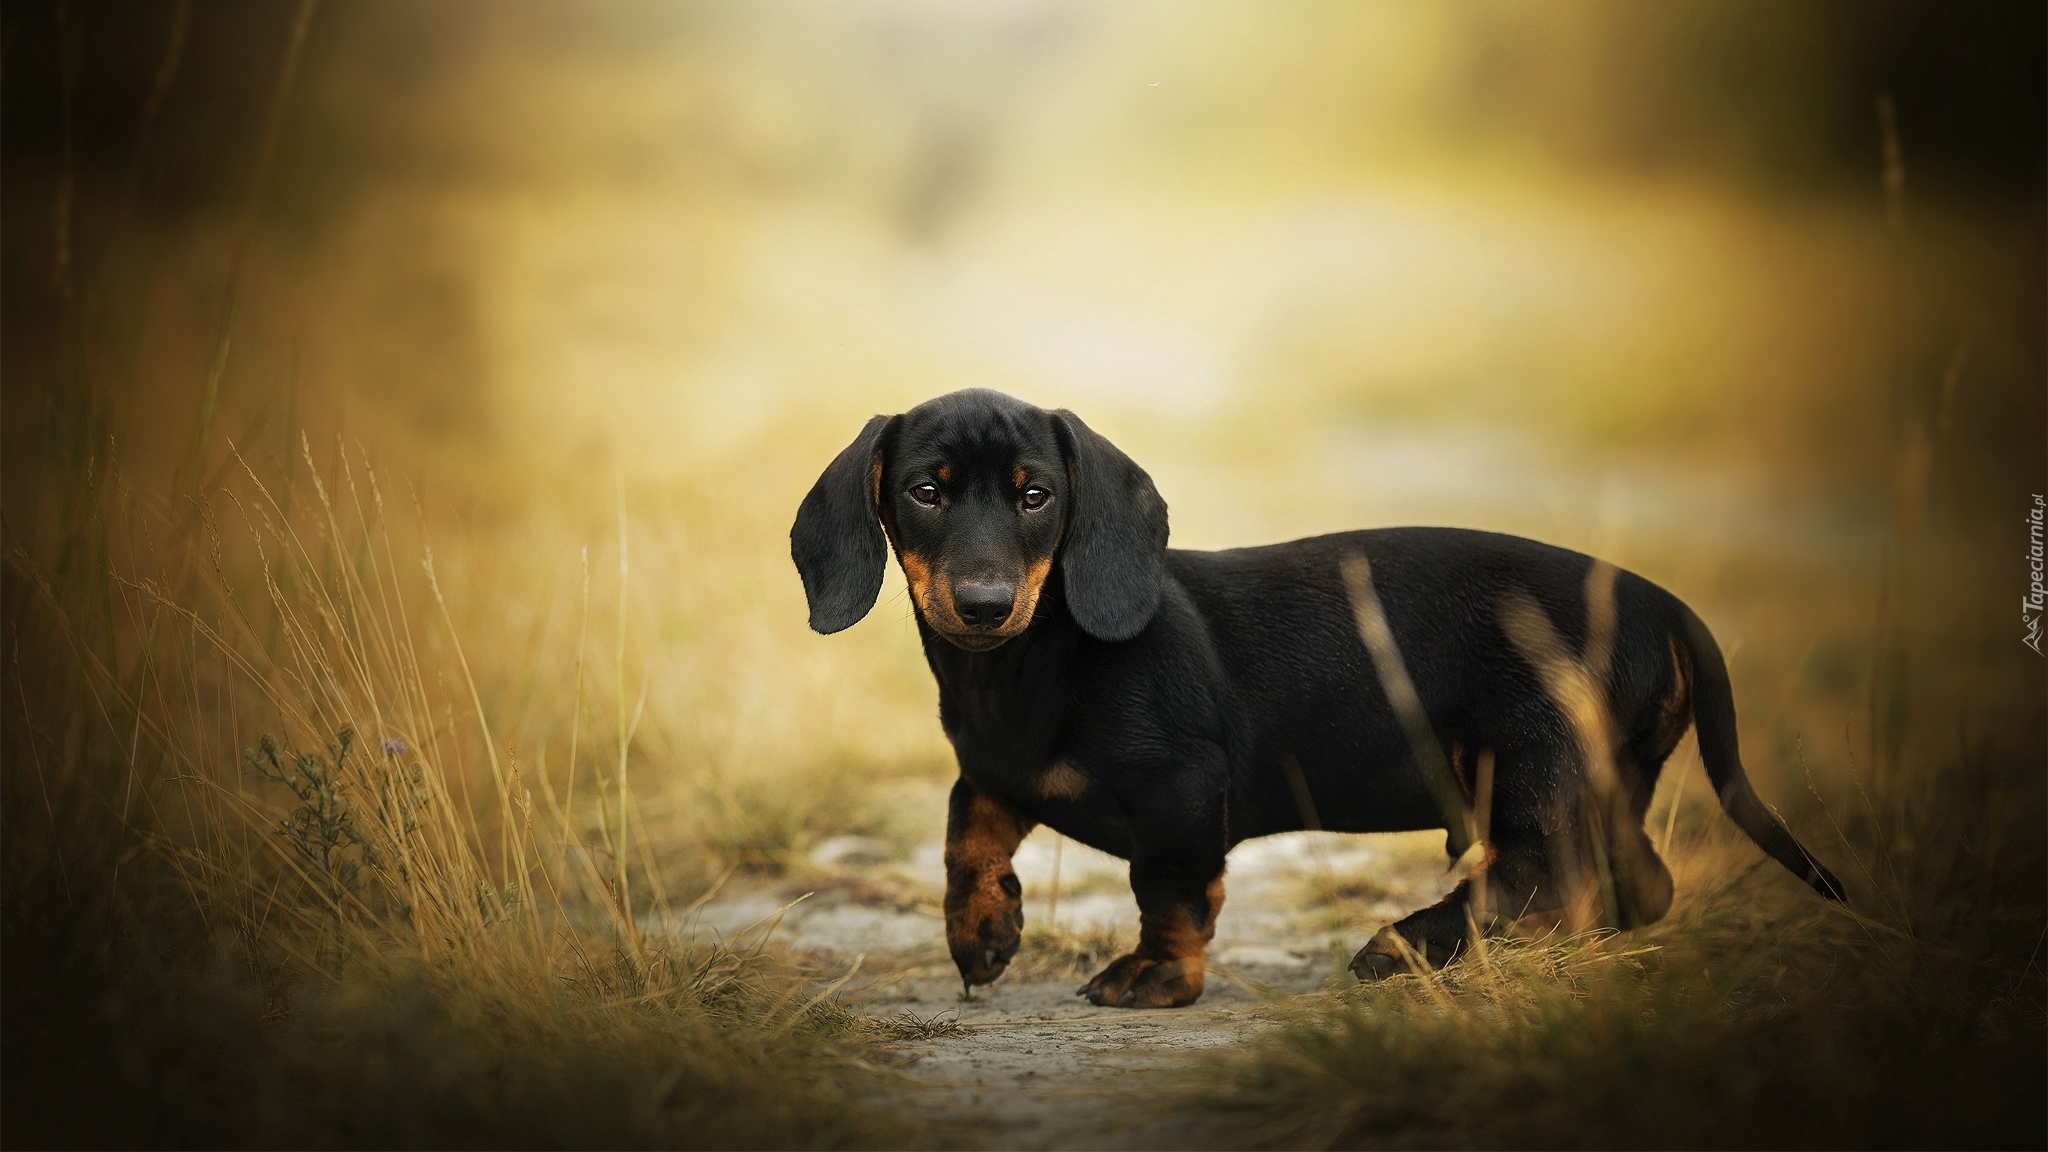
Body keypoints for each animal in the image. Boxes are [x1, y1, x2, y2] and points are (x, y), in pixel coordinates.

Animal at [790, 385, 1851, 1004]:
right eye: (925, 492)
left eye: (1035, 494)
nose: (983, 603)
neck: (1029, 663)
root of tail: (1664, 602)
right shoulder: (1002, 774)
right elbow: (965, 825)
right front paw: (982, 931)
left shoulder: (1183, 795)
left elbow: (1170, 890)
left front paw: (1157, 975)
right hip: (1599, 777)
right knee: (1631, 886)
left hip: (1529, 759)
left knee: (1544, 877)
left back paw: (1409, 943)